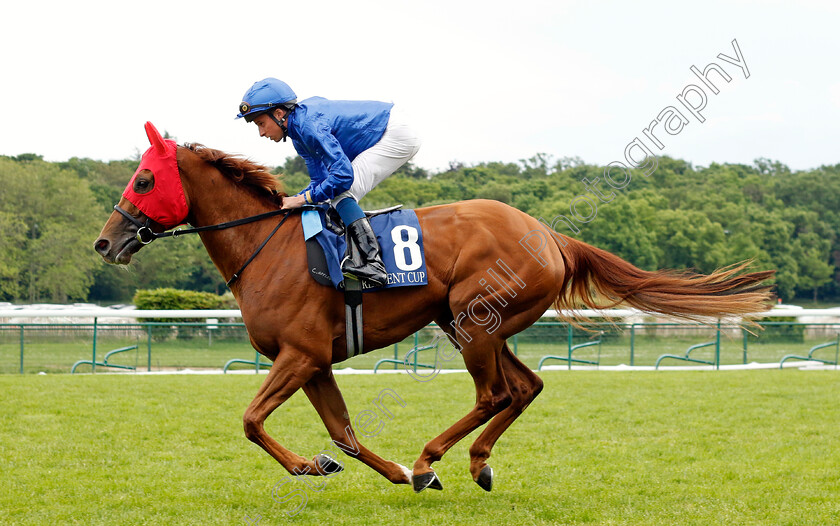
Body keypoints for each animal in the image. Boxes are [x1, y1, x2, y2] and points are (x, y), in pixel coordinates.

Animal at [93, 128, 776, 496]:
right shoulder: (316, 362)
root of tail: (550, 234)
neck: (270, 247)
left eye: (144, 180)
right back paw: (473, 463)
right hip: (477, 323)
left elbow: (252, 421)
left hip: (473, 322)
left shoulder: (300, 355)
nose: (106, 242)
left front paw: (316, 468)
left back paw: (431, 459)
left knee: (495, 394)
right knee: (526, 388)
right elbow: (343, 433)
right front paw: (374, 469)